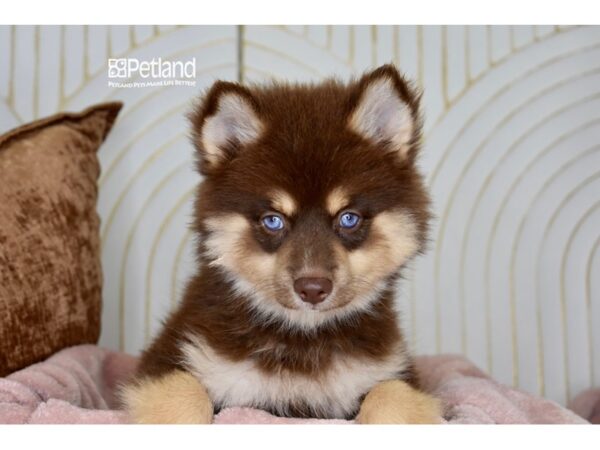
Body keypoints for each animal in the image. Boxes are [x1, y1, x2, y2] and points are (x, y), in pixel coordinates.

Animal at [120, 64, 440, 426]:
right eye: (273, 220)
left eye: (348, 218)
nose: (313, 288)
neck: (301, 337)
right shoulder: (167, 359)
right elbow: (183, 396)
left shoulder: (396, 373)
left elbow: (391, 397)